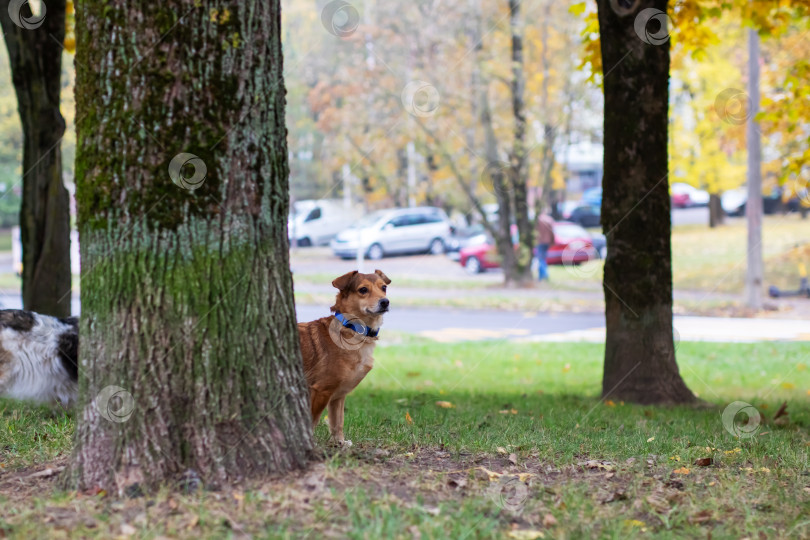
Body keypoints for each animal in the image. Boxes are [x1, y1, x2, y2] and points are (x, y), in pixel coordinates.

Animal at [298, 268, 390, 446]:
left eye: (384, 288)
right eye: (363, 290)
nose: (385, 302)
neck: (352, 329)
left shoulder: (338, 396)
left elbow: (337, 421)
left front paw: (339, 443)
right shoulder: (321, 390)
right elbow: (313, 420)